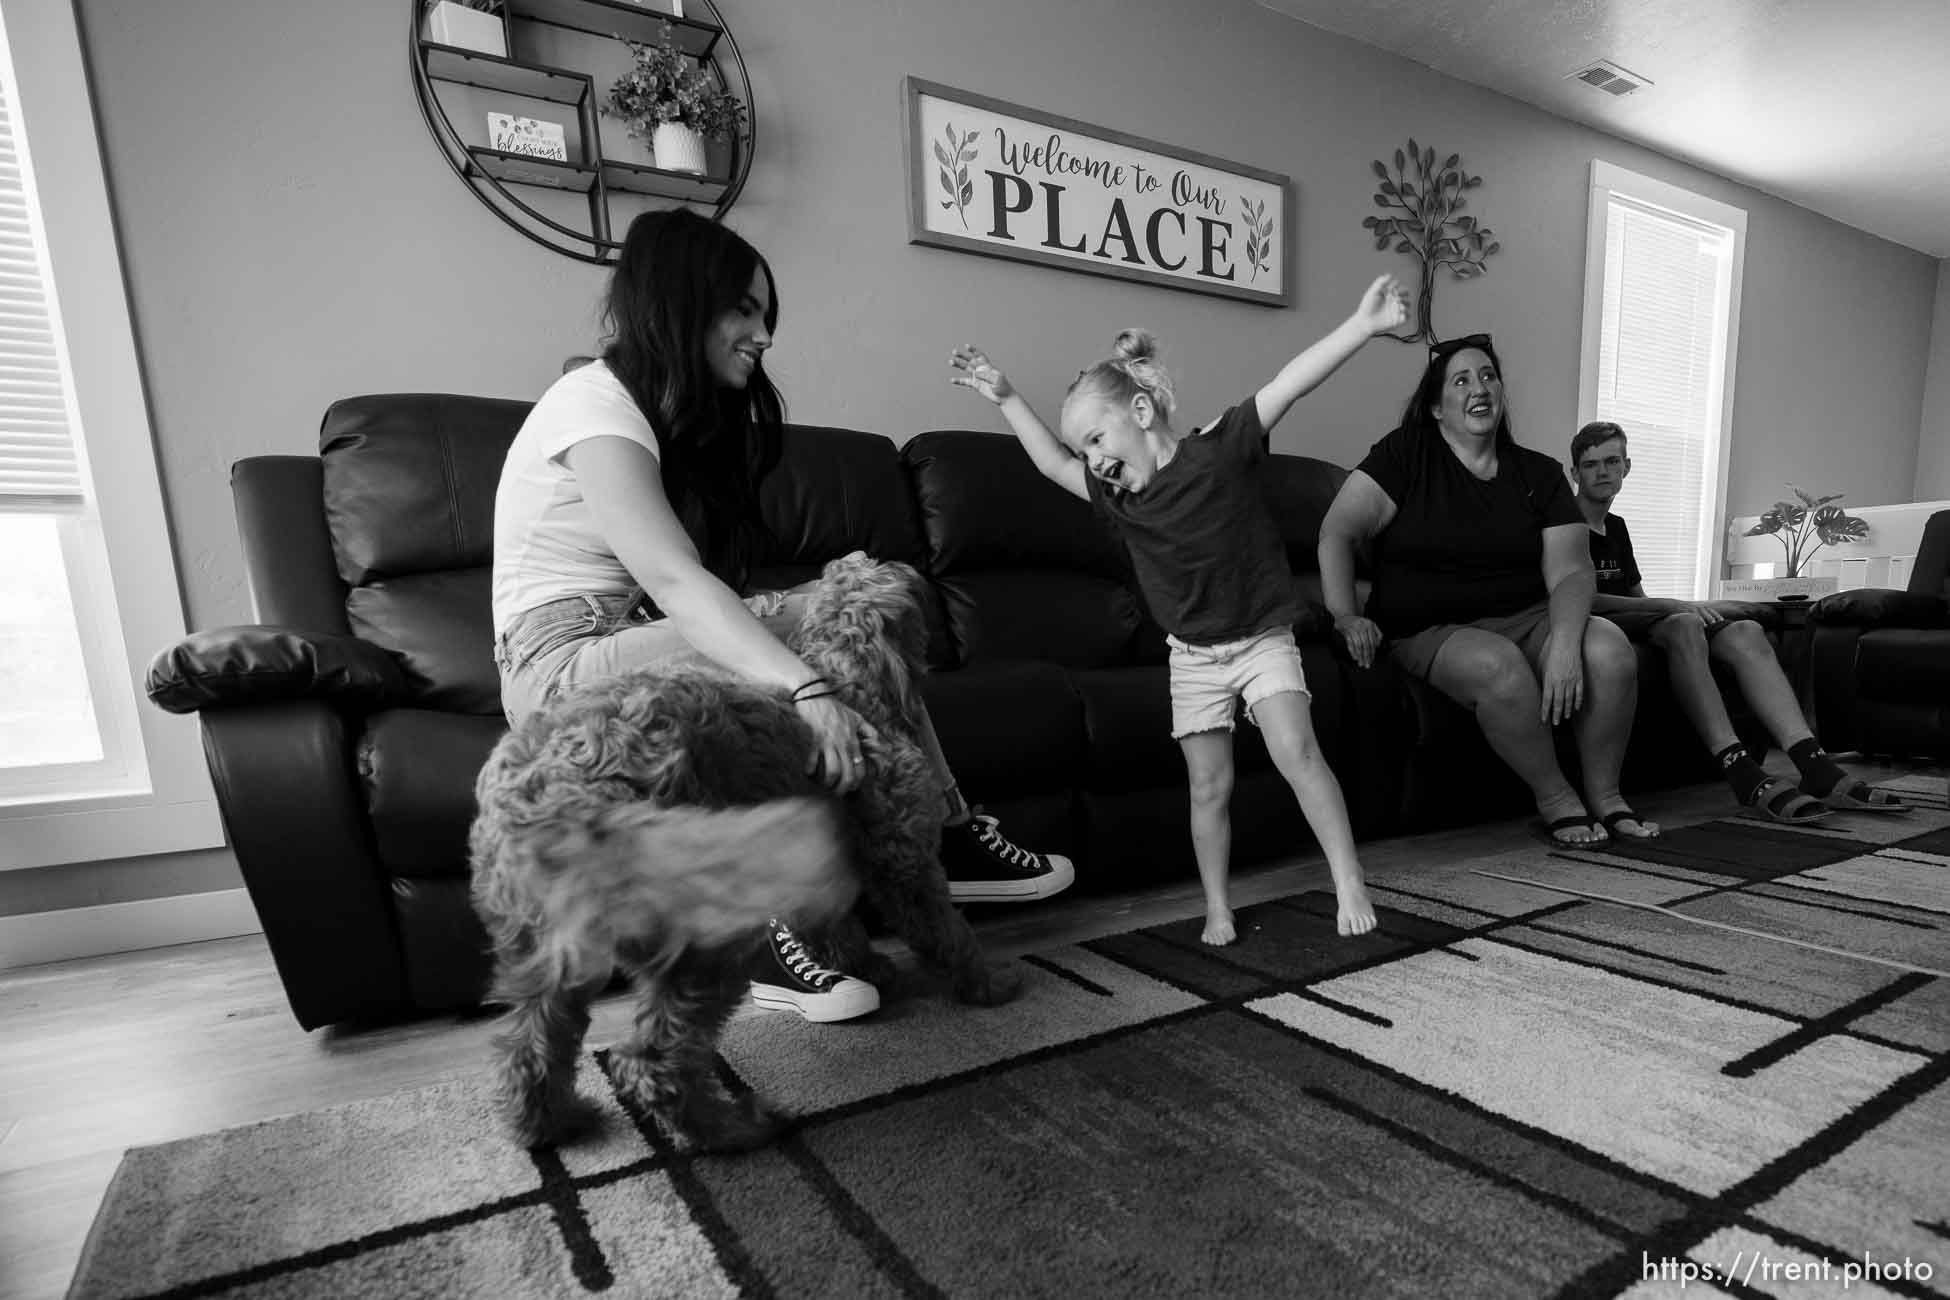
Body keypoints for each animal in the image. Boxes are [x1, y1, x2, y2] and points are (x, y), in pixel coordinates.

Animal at [471, 553, 1021, 1153]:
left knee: (532, 1041)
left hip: (542, 945)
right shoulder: (904, 862)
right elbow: (946, 928)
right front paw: (988, 983)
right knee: (652, 1062)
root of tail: (555, 793)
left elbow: (836, 928)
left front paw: (871, 966)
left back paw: (550, 1123)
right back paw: (736, 1129)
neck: (847, 688)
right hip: (702, 936)